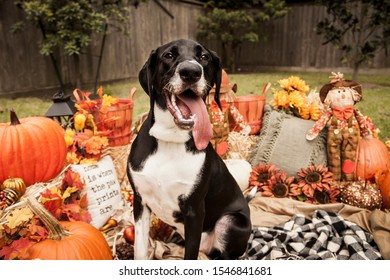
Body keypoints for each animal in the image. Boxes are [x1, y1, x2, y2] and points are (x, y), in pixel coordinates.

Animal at [126, 38, 251, 260]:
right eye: (168, 55)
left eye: (204, 57)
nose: (191, 72)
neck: (170, 139)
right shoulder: (140, 202)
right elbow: (140, 251)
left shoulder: (194, 211)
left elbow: (190, 254)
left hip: (230, 222)